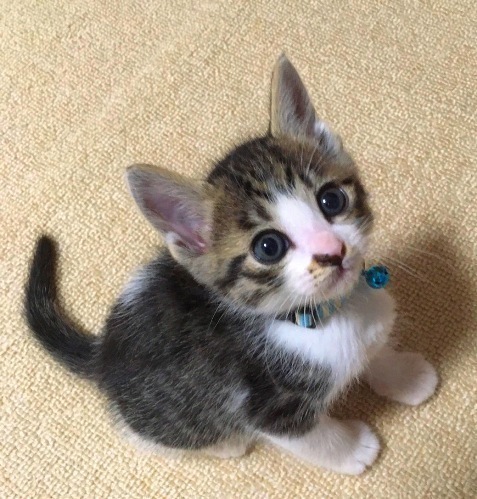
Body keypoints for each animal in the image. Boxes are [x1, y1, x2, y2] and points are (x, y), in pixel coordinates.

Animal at [25, 55, 438, 474]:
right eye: (268, 247)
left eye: (332, 200)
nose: (332, 251)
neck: (325, 314)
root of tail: (102, 353)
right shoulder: (268, 406)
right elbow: (315, 439)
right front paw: (354, 448)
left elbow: (375, 351)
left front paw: (405, 375)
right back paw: (226, 445)